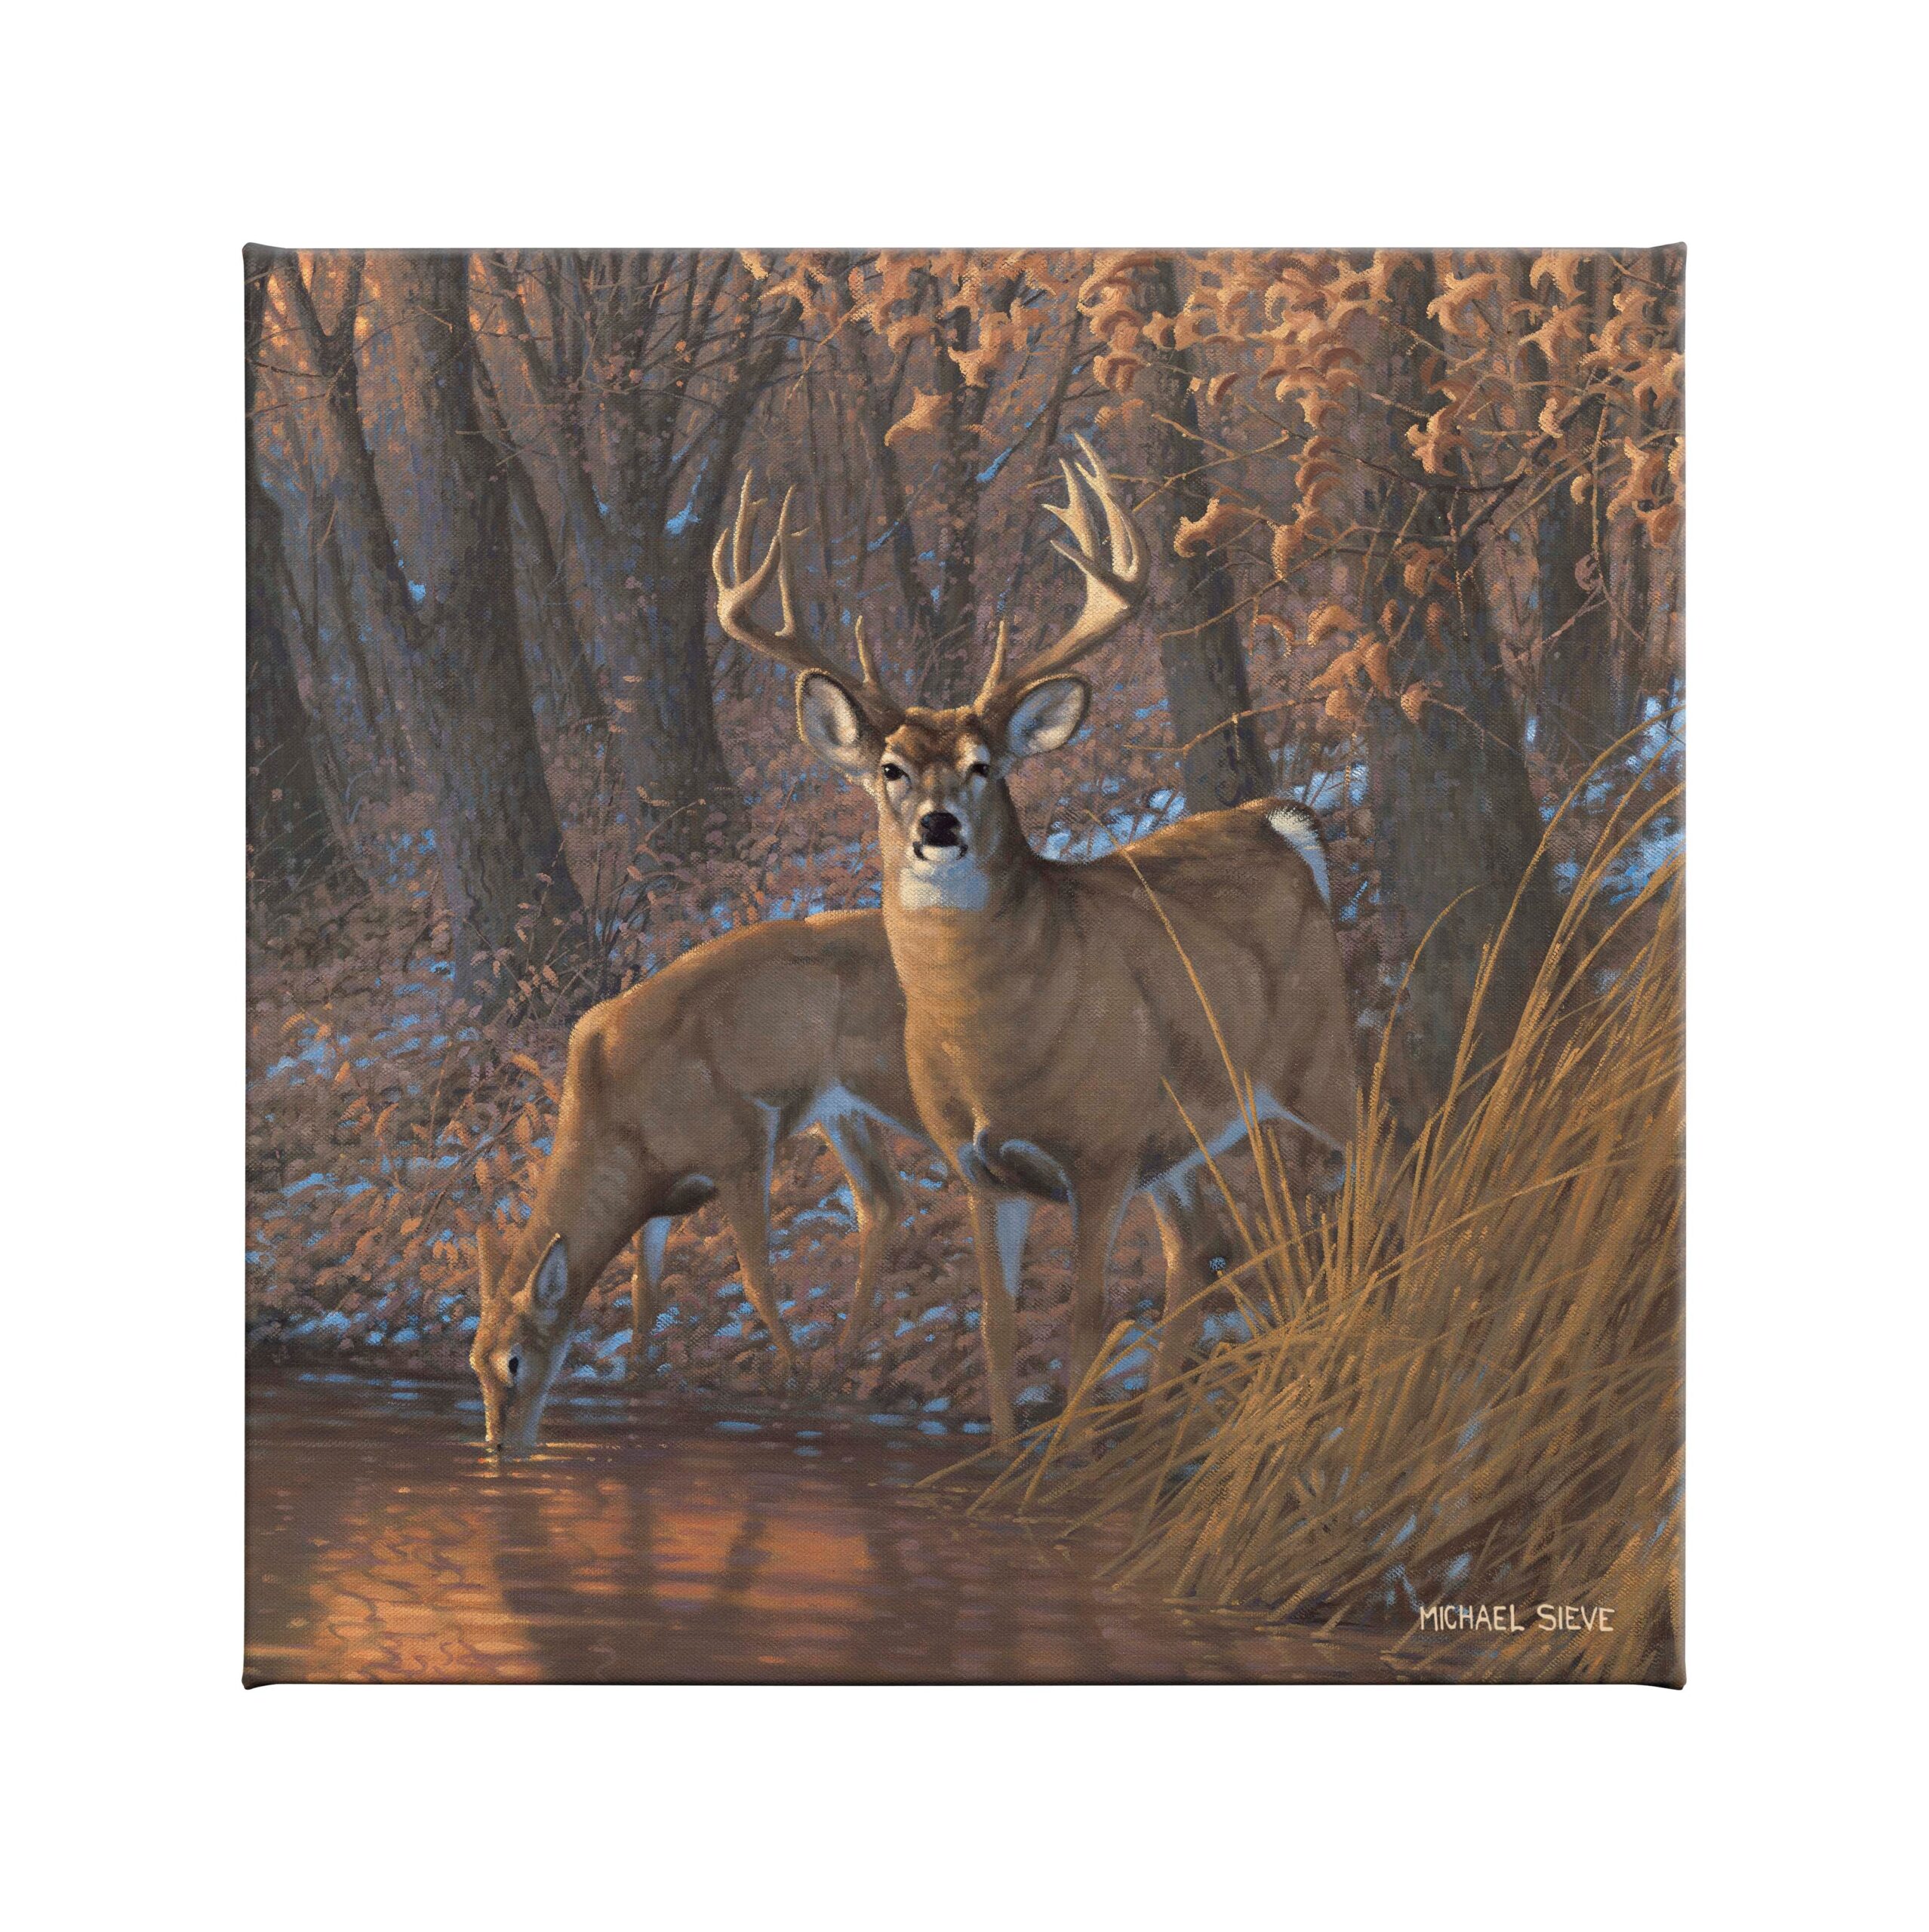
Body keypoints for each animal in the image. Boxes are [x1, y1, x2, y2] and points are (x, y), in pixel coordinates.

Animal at [471, 910, 928, 1454]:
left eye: (514, 1361)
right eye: (474, 1365)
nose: (499, 1445)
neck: (618, 1121)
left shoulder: (741, 1147)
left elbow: (757, 1279)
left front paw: (794, 1380)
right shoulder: (656, 1204)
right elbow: (645, 1297)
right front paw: (636, 1383)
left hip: (897, 1079)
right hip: (840, 1111)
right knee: (882, 1202)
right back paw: (841, 1366)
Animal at [712, 437, 1356, 1446]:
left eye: (986, 765)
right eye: (889, 768)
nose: (938, 826)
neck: (996, 1045)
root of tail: (1279, 823)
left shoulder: (1099, 1153)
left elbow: (1087, 1322)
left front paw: (1068, 1454)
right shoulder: (984, 1171)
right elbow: (997, 1327)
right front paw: (1014, 1458)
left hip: (1314, 1056)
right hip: (1181, 1130)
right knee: (1202, 1242)